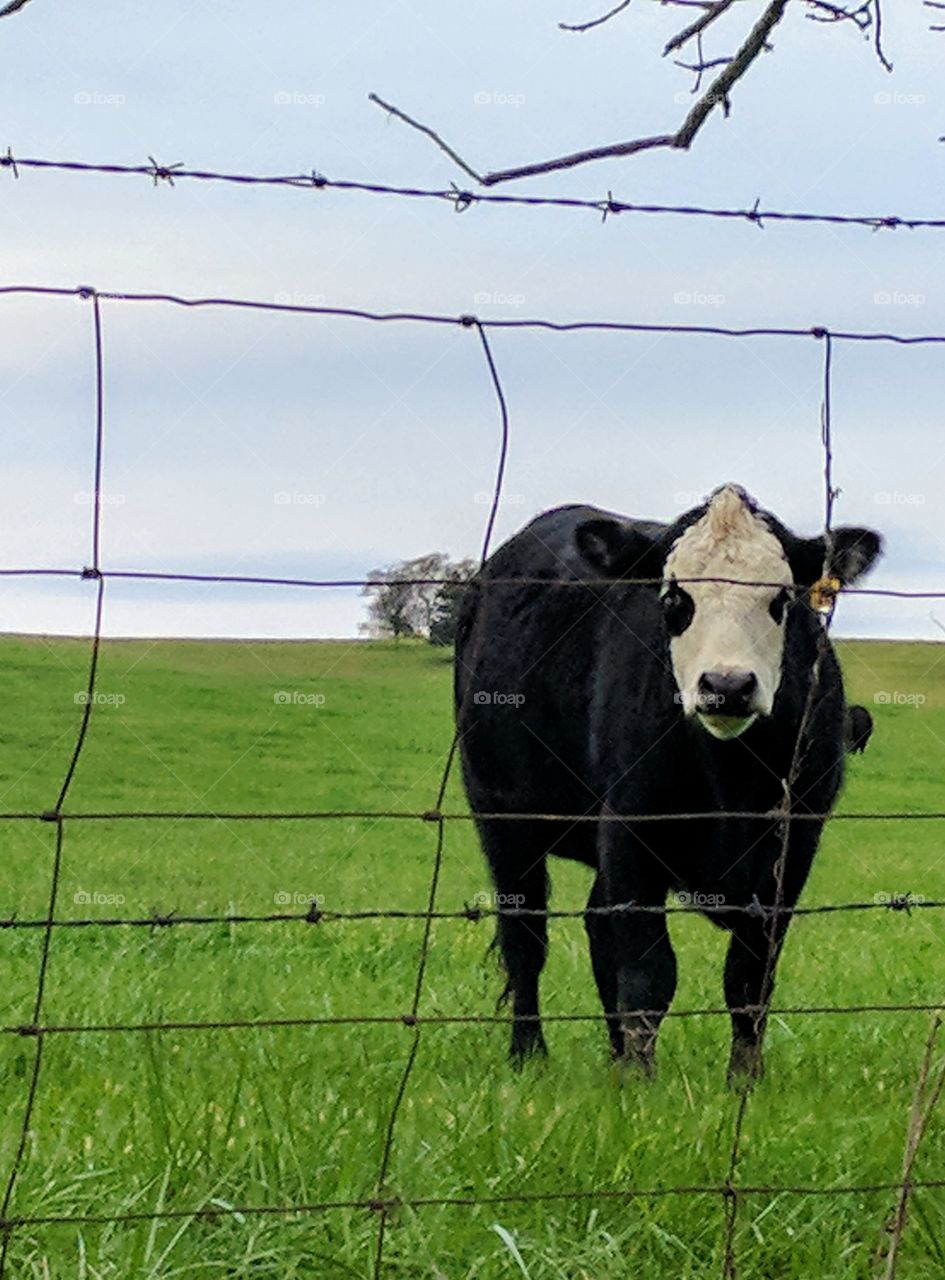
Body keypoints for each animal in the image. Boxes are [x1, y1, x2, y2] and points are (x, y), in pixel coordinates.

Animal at [455, 485, 882, 1086]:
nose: (727, 684)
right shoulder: (630, 830)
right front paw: (641, 1083)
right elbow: (648, 971)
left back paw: (613, 1053)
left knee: (595, 928)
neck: (732, 779)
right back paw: (529, 1054)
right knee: (525, 939)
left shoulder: (795, 844)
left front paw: (743, 1080)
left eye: (781, 599)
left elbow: (749, 976)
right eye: (674, 600)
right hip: (502, 818)